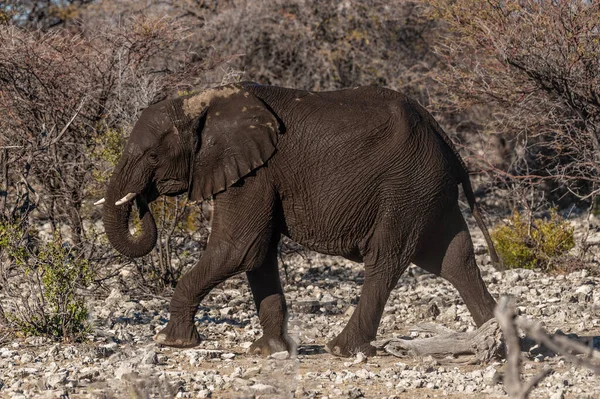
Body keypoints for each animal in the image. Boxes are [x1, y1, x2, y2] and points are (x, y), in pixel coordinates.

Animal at [97, 83, 502, 358]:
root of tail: (442, 134)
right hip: (427, 190)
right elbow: (258, 256)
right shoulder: (257, 173)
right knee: (455, 259)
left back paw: (341, 349)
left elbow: (238, 249)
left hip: (406, 186)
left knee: (387, 260)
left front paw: (171, 341)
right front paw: (269, 350)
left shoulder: (254, 174)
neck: (201, 102)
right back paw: (501, 337)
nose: (142, 200)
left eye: (152, 157)